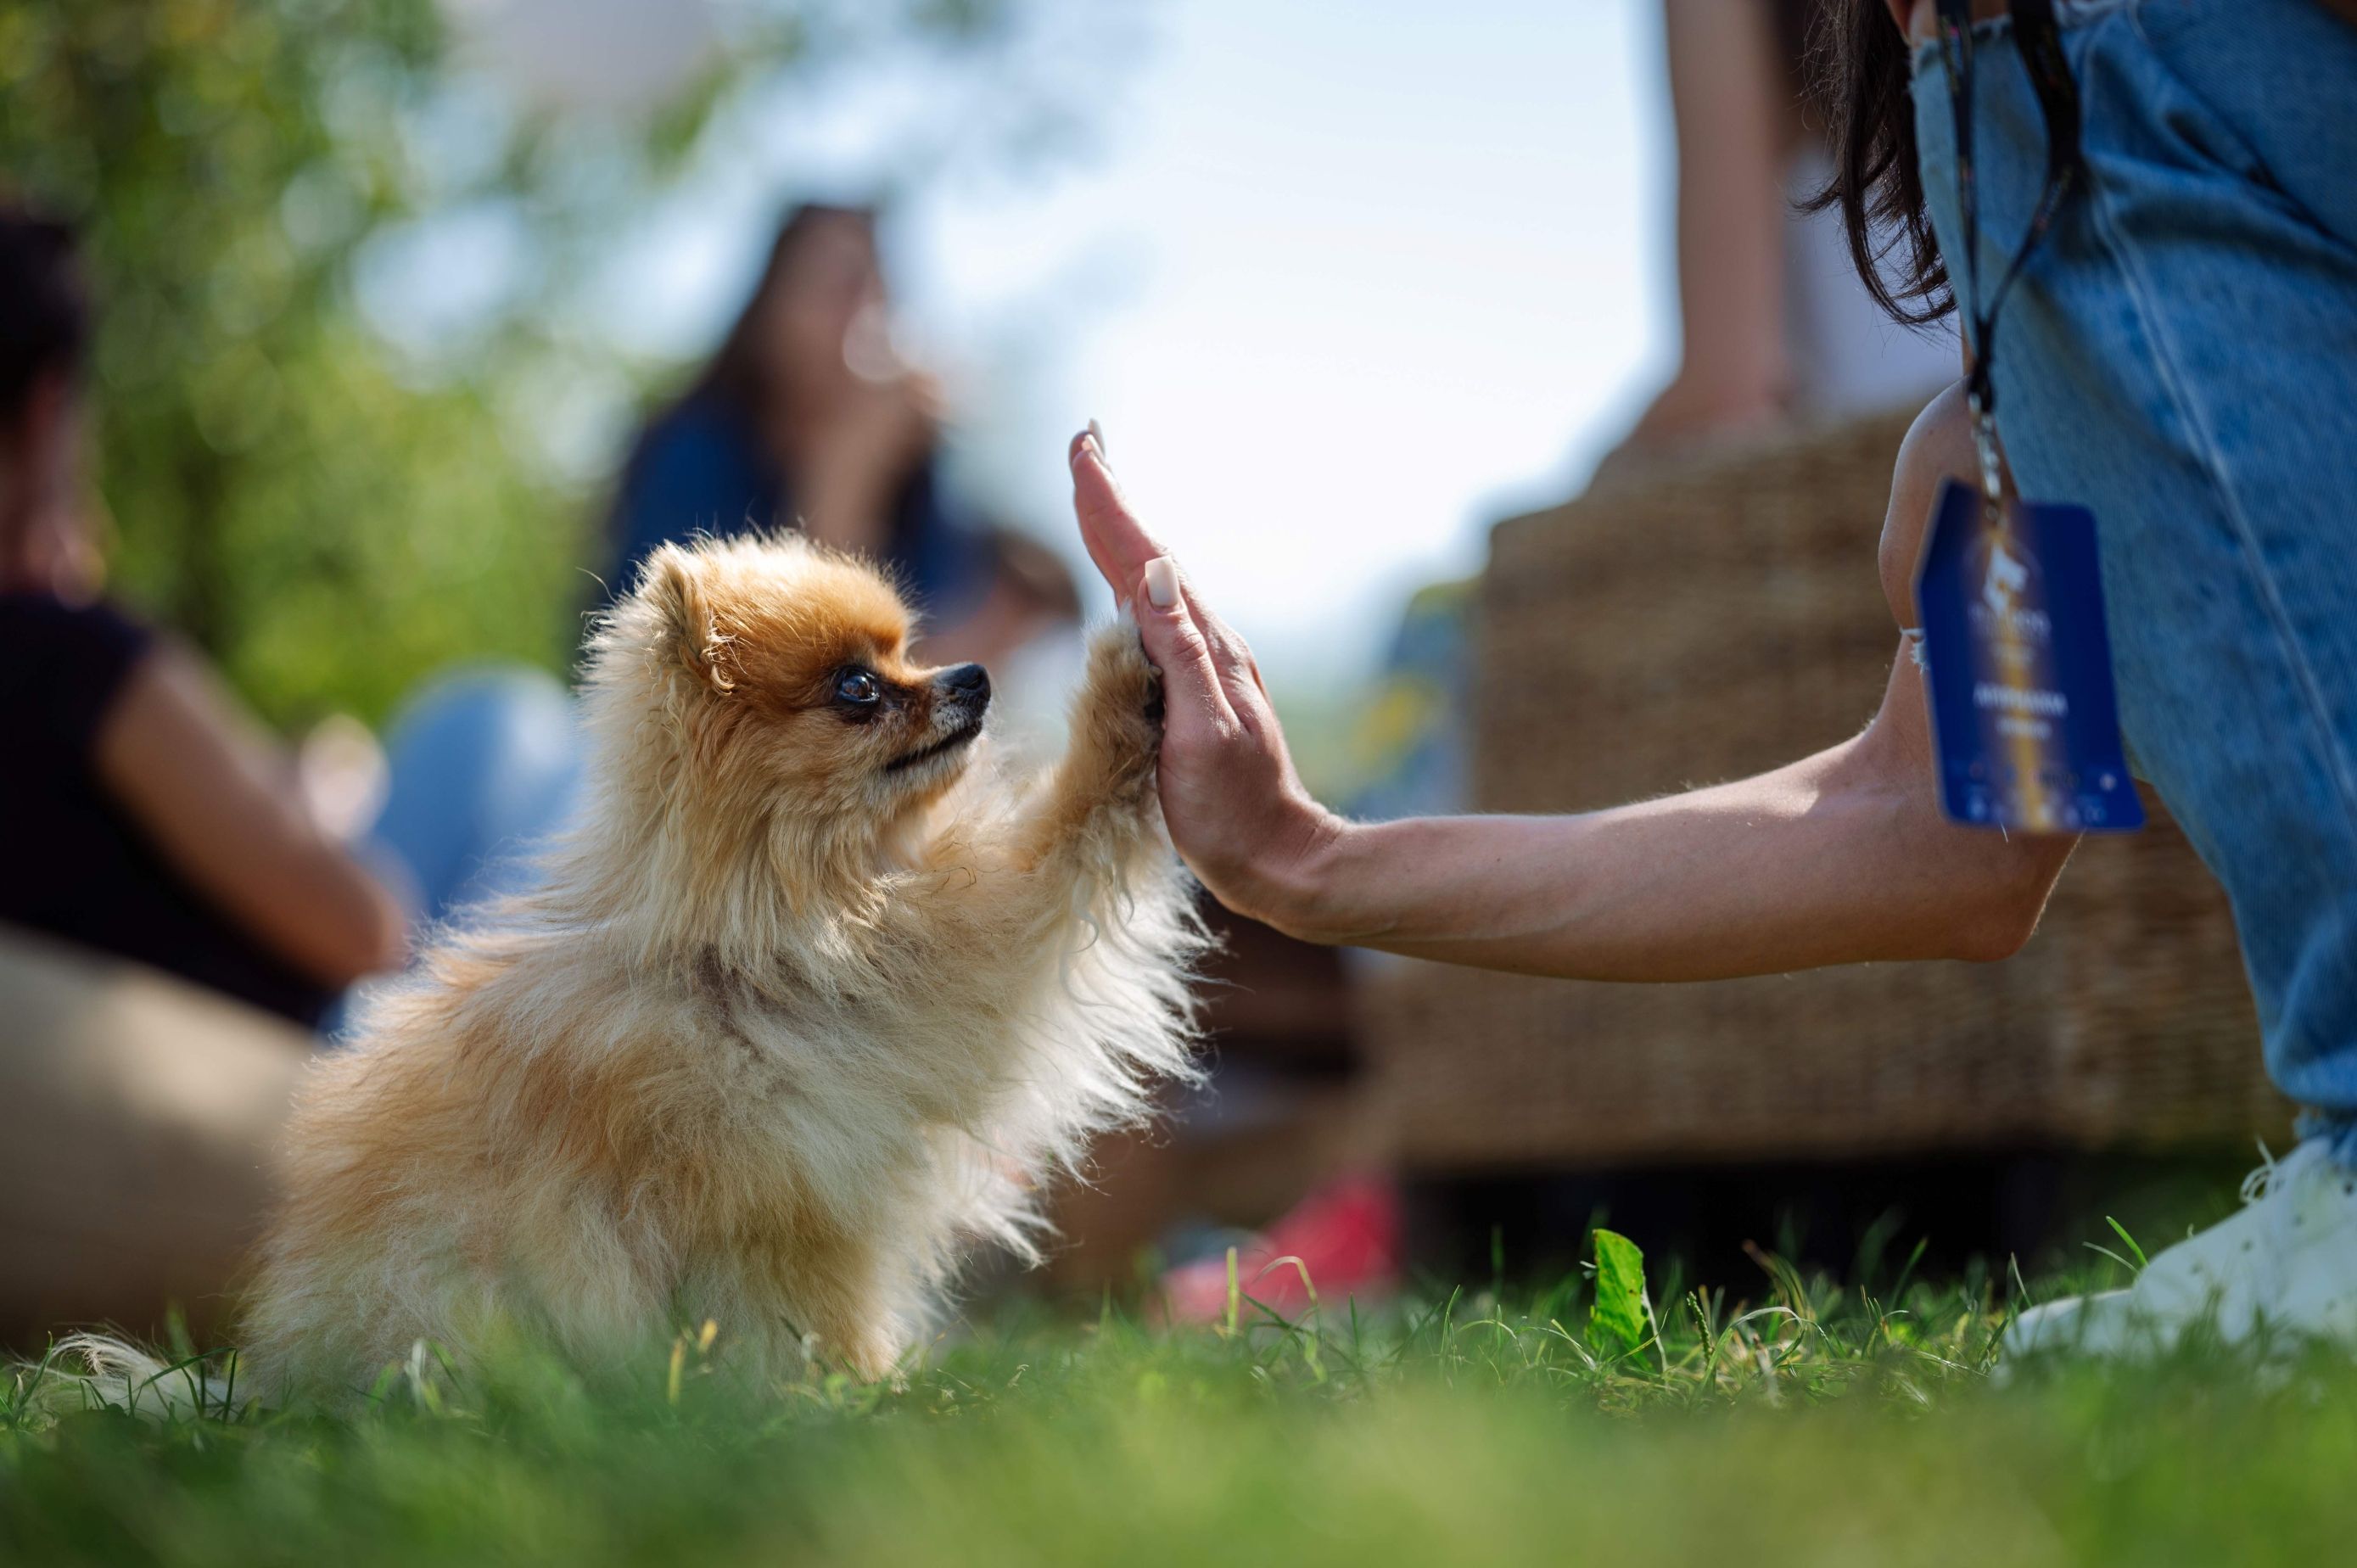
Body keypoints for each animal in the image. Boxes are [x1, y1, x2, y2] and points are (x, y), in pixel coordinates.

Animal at [221, 535, 1206, 1396]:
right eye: (858, 688)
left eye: (908, 655)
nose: (973, 676)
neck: (752, 941)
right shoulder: (801, 1189)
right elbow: (1063, 841)